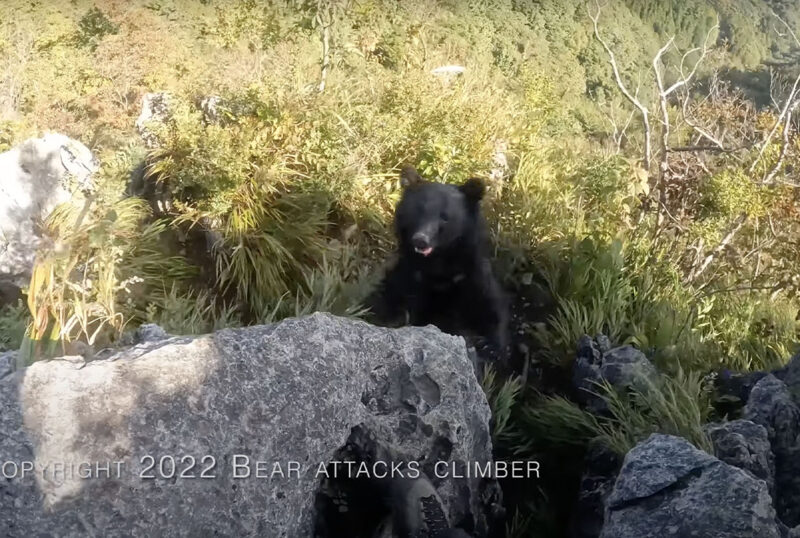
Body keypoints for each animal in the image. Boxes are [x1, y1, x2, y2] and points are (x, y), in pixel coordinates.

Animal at [372, 165, 510, 362]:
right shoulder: (411, 277)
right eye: (419, 211)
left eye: (445, 217)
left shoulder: (471, 275)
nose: (421, 240)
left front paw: (490, 346)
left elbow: (493, 304)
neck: (439, 262)